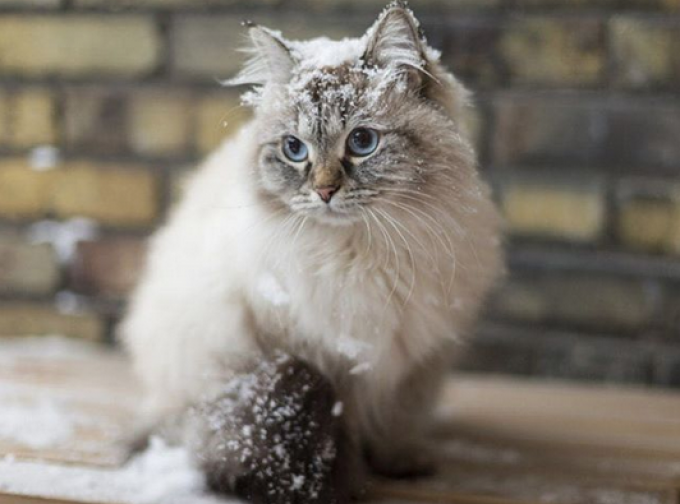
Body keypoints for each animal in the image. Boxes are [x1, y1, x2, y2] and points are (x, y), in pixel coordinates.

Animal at [121, 0, 504, 500]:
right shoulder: (322, 361)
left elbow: (396, 423)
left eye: (362, 142)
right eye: (294, 149)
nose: (323, 191)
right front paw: (349, 484)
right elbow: (341, 430)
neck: (364, 252)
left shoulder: (415, 361)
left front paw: (400, 465)